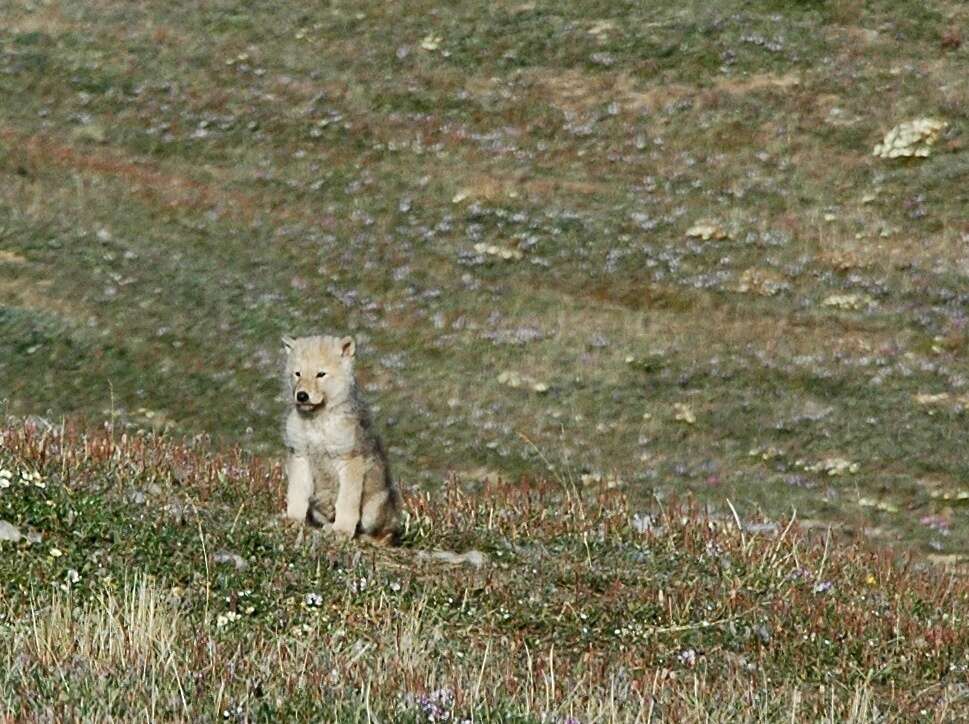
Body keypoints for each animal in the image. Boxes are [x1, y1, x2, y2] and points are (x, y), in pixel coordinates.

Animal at [280, 334, 400, 544]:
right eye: (297, 373)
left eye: (321, 374)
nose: (301, 396)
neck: (317, 424)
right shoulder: (300, 456)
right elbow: (296, 494)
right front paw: (293, 520)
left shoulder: (349, 461)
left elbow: (346, 502)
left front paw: (342, 531)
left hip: (372, 512)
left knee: (382, 534)